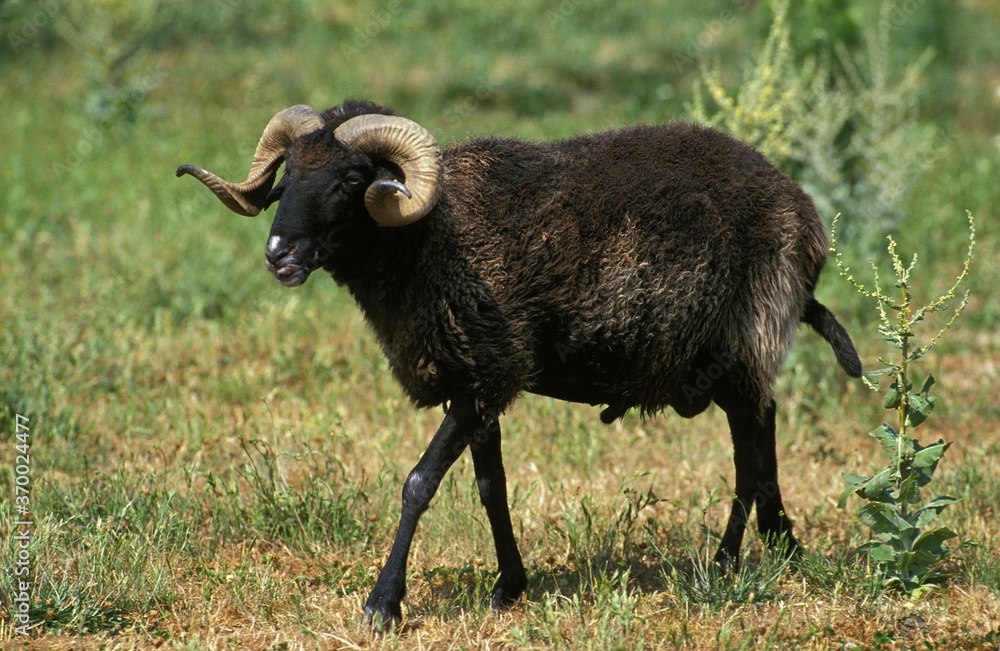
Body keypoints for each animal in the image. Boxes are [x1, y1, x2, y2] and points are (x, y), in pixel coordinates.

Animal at [177, 99, 862, 629]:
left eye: (350, 178)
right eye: (288, 172)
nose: (278, 253)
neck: (431, 238)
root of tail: (802, 208)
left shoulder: (487, 372)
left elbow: (418, 484)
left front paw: (383, 604)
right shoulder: (476, 378)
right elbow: (491, 486)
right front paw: (509, 587)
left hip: (745, 340)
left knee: (751, 452)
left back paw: (730, 561)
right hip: (724, 360)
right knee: (761, 436)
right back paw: (776, 546)